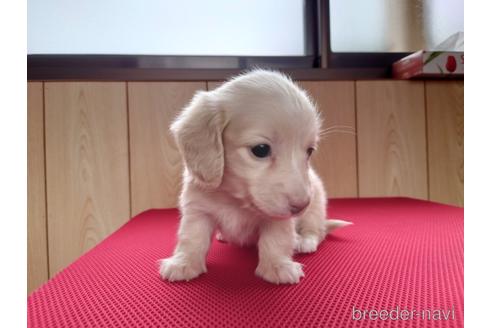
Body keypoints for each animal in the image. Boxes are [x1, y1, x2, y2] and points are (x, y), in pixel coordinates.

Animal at [160, 70, 350, 284]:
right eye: (261, 149)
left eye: (309, 151)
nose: (301, 205)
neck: (236, 199)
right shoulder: (198, 210)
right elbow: (192, 238)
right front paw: (184, 263)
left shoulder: (279, 218)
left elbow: (275, 240)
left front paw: (277, 266)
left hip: (316, 206)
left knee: (316, 230)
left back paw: (304, 240)